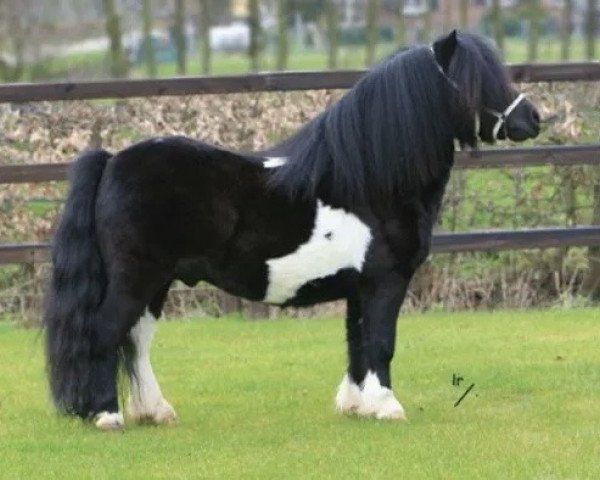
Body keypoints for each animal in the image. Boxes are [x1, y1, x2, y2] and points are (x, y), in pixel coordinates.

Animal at [43, 31, 540, 430]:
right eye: (478, 79)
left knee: (137, 338)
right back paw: (108, 415)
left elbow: (357, 342)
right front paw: (387, 406)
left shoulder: (359, 286)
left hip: (158, 280)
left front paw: (356, 405)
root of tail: (113, 160)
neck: (372, 179)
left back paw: (154, 411)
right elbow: (381, 342)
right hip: (137, 276)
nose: (533, 119)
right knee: (106, 332)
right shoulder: (386, 281)